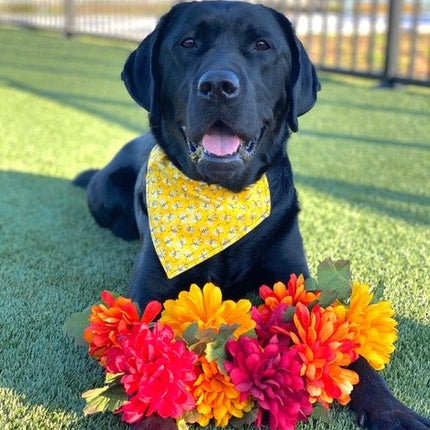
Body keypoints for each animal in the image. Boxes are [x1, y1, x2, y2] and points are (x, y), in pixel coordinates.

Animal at [74, 1, 430, 428]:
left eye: (262, 46)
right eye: (188, 43)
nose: (218, 85)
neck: (222, 200)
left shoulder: (297, 282)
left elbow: (349, 351)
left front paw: (394, 411)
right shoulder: (149, 298)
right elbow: (151, 363)